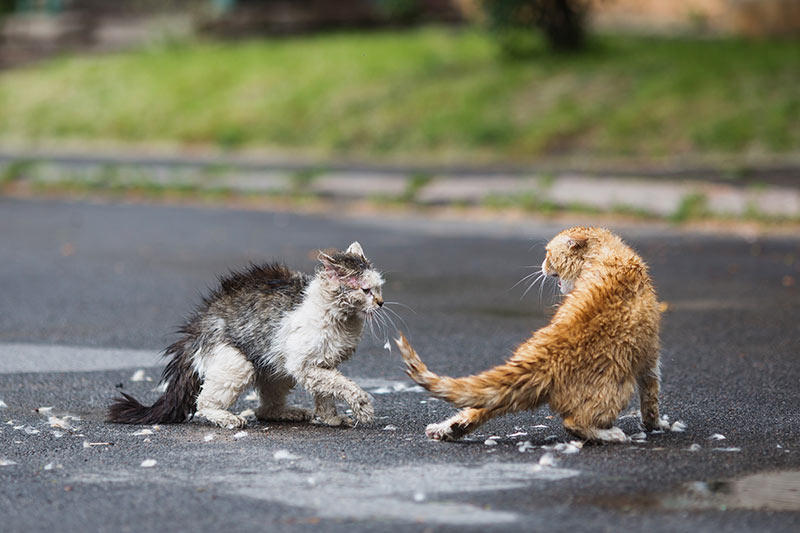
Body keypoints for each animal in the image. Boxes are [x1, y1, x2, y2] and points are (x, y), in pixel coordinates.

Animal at [108, 241, 384, 428]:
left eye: (379, 289)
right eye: (365, 290)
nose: (381, 303)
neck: (342, 318)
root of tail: (197, 326)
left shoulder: (322, 364)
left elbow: (327, 393)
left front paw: (331, 418)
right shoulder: (306, 365)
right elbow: (345, 386)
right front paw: (363, 408)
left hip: (276, 369)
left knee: (265, 409)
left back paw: (291, 413)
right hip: (238, 365)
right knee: (204, 403)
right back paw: (229, 419)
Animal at [396, 224, 668, 440]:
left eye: (548, 254)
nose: (542, 265)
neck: (608, 255)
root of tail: (546, 356)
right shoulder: (650, 354)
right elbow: (651, 394)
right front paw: (654, 424)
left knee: (483, 405)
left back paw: (449, 429)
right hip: (618, 386)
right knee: (574, 422)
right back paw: (608, 434)